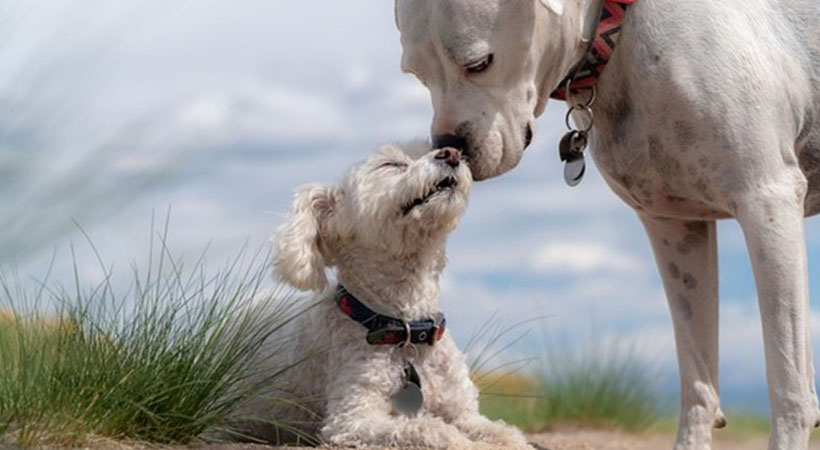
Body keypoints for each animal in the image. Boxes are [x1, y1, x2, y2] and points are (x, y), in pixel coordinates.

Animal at [256, 144, 528, 450]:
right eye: (391, 164)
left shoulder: (464, 412)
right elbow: (430, 428)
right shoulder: (352, 419)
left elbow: (506, 433)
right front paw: (465, 442)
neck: (407, 332)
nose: (451, 152)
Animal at [394, 0, 816, 450]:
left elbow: (788, 380)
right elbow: (698, 379)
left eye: (479, 64)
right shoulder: (676, 228)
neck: (618, 30)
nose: (448, 147)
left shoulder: (767, 202)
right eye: (417, 75)